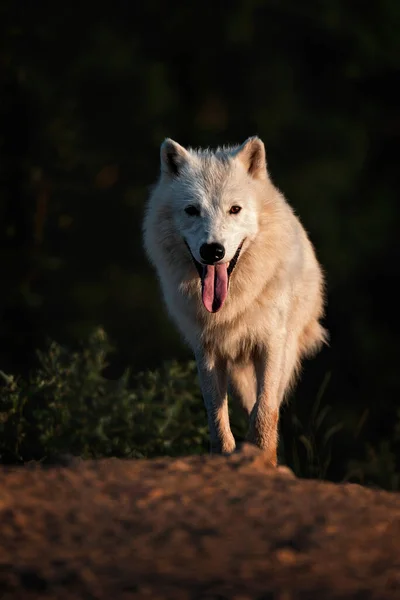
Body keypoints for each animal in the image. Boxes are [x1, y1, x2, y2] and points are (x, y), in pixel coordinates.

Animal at [142, 138, 326, 466]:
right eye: (192, 210)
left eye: (235, 210)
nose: (213, 250)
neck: (233, 304)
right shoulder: (207, 351)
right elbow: (217, 419)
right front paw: (225, 457)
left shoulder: (271, 344)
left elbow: (264, 412)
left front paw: (264, 460)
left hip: (285, 354)